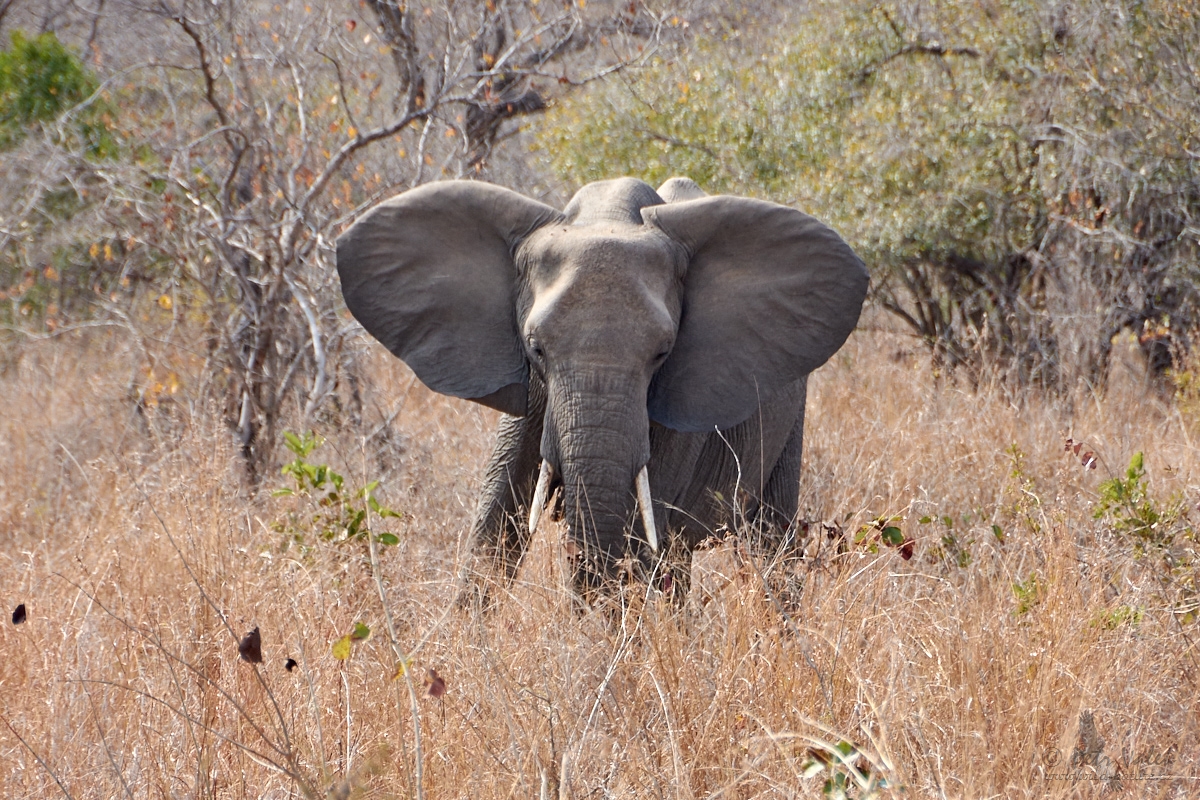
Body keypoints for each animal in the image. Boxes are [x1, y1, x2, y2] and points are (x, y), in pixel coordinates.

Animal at [333, 175, 868, 606]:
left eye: (662, 353)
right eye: (536, 348)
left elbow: (633, 535)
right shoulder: (532, 397)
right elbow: (494, 525)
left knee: (765, 541)